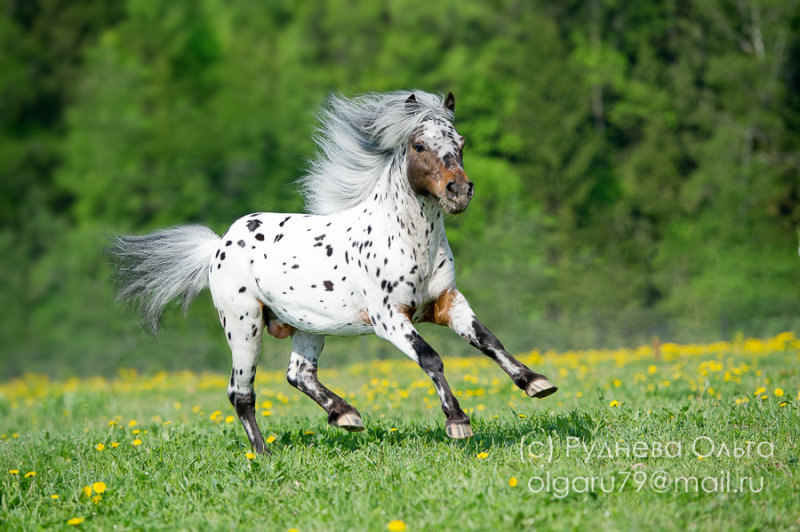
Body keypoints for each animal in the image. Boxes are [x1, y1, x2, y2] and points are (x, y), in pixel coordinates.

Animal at [112, 90, 556, 454]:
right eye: (419, 145)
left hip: (308, 326)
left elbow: (488, 341)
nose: (459, 192)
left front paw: (536, 382)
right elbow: (431, 358)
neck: (407, 240)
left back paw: (346, 415)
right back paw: (264, 454)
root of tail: (219, 245)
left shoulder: (448, 303)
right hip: (243, 325)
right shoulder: (389, 319)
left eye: (460, 143)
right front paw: (458, 421)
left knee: (298, 374)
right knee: (241, 393)